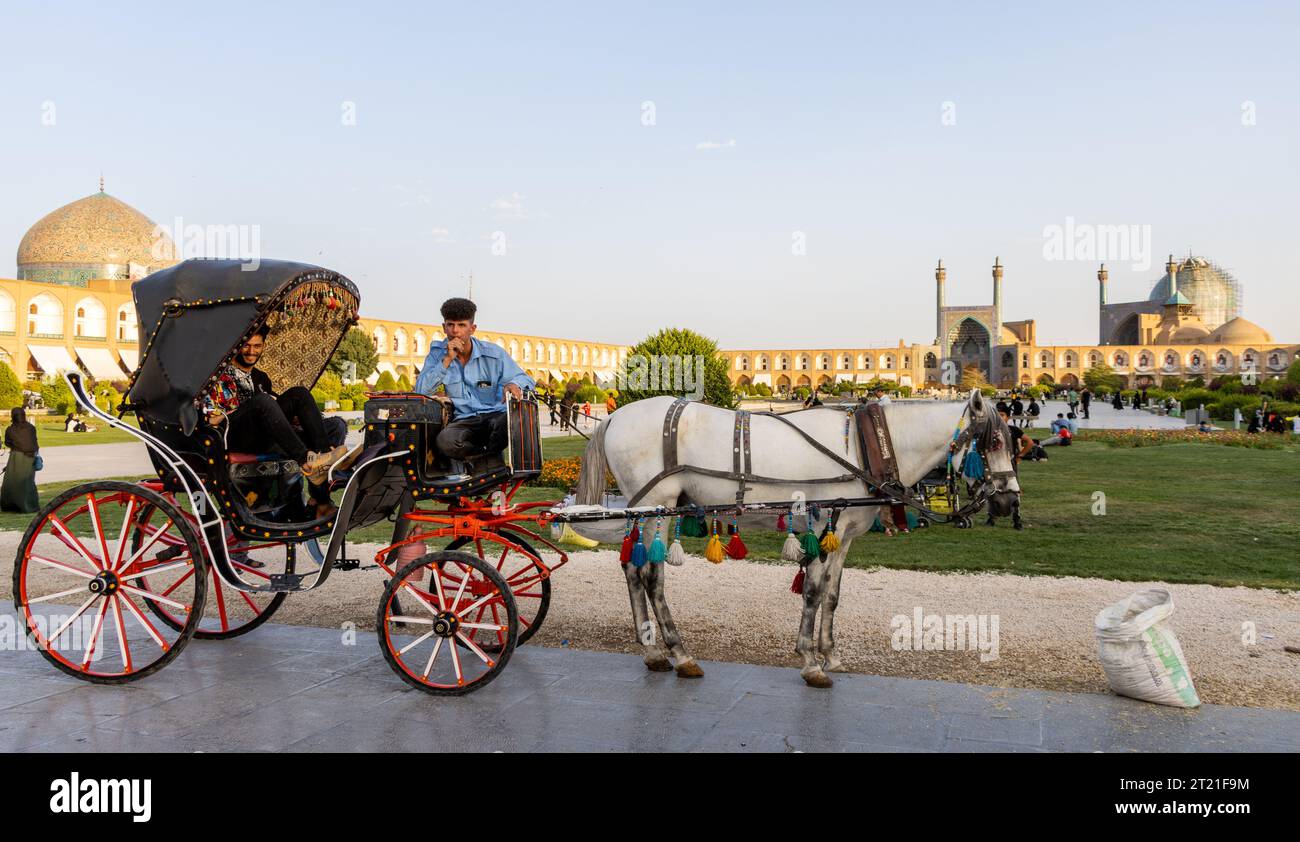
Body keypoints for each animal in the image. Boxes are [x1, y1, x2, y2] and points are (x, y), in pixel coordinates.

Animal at [577, 392, 1013, 686]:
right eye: (992, 444)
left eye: (1009, 444)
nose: (1008, 500)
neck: (862, 446)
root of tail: (614, 417)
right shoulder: (824, 524)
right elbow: (814, 591)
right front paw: (810, 661)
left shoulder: (845, 534)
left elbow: (832, 594)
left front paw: (829, 653)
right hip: (658, 507)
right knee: (652, 576)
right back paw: (679, 653)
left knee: (632, 569)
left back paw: (652, 651)